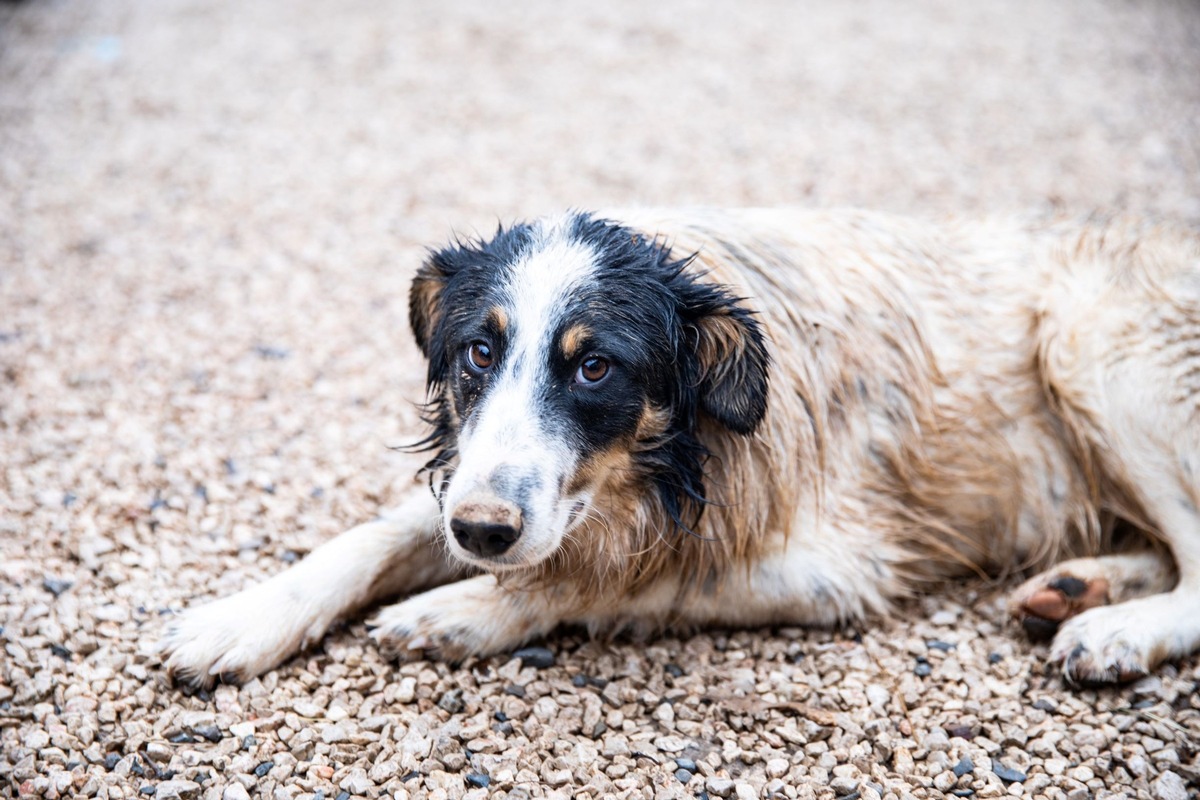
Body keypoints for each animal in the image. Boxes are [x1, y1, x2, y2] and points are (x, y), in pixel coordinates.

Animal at [162, 208, 1200, 690]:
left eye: (594, 369)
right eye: (478, 352)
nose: (485, 537)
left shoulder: (833, 569)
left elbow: (619, 580)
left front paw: (463, 612)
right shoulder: (484, 486)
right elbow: (366, 540)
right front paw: (238, 619)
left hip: (1092, 341)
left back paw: (1115, 629)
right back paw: (1078, 587)